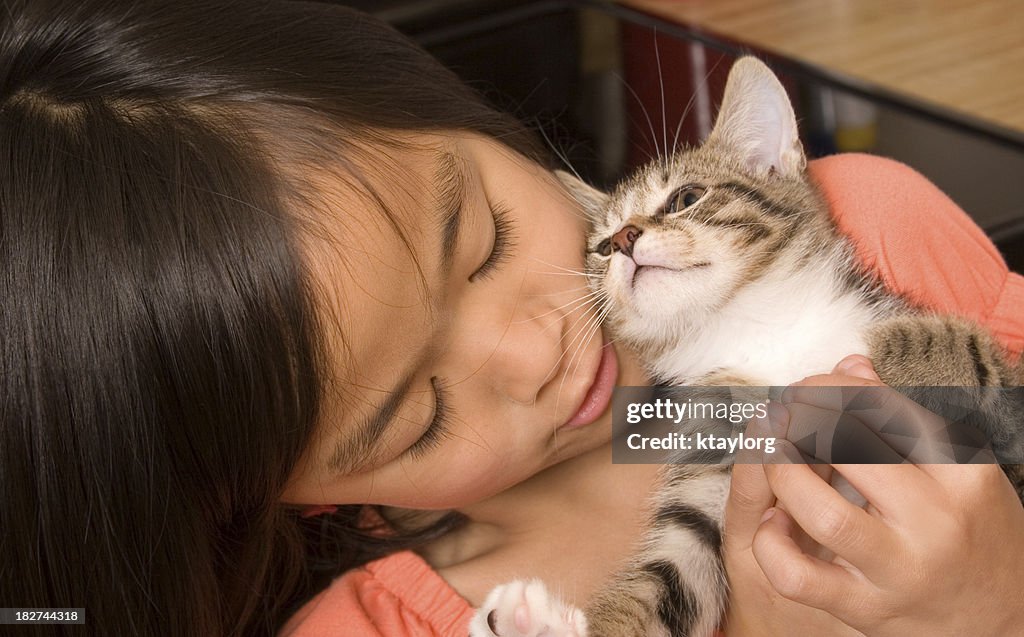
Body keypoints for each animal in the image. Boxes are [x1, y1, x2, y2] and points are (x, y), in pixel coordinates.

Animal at [468, 57, 1019, 634]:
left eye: (686, 198)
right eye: (600, 247)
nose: (622, 241)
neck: (761, 328)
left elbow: (996, 384)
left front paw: (915, 347)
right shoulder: (711, 460)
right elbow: (673, 577)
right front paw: (537, 623)